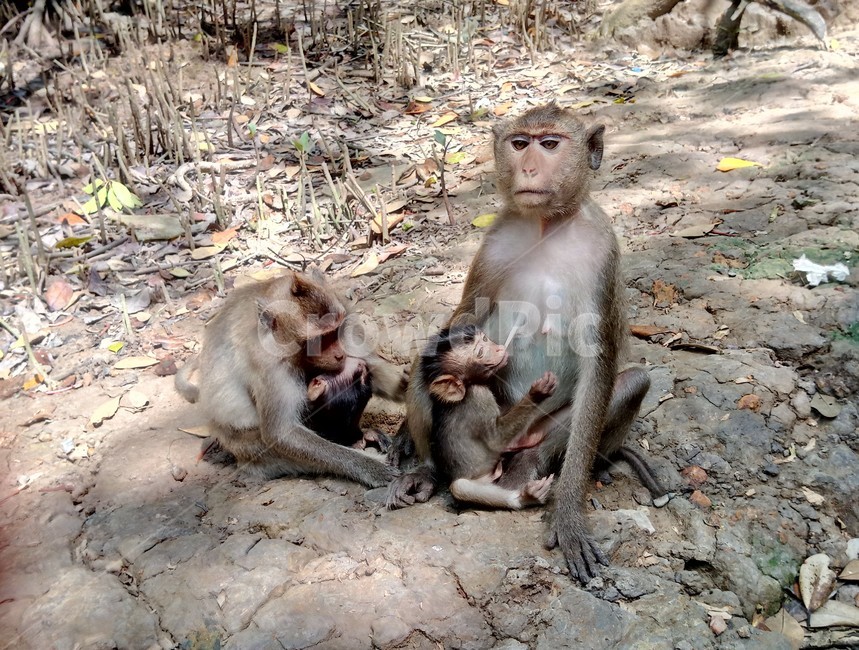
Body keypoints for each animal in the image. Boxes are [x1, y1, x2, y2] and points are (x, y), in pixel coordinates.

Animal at [174, 270, 406, 487]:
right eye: (318, 340)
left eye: (334, 333)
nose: (339, 354)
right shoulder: (269, 365)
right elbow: (281, 433)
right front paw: (372, 468)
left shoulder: (346, 317)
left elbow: (375, 368)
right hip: (247, 449)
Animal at [416, 325, 558, 510]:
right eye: (481, 352)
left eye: (484, 339)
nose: (499, 348)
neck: (468, 386)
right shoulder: (479, 395)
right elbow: (496, 439)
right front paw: (537, 393)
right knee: (459, 487)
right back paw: (525, 497)